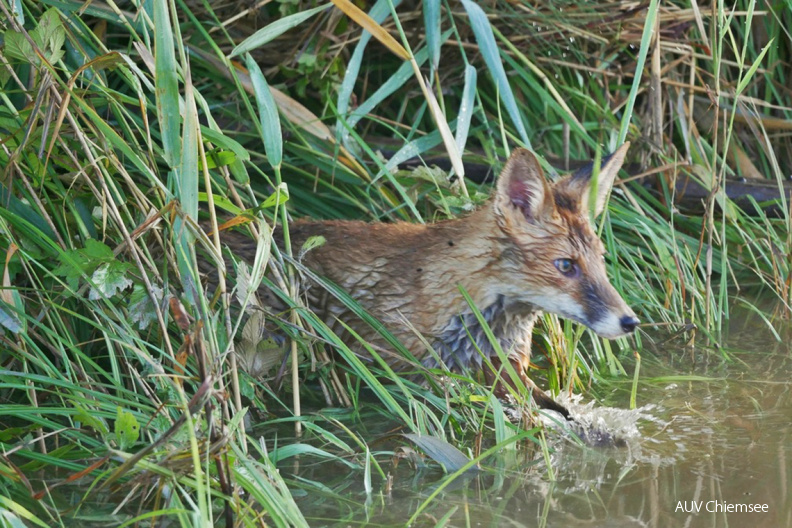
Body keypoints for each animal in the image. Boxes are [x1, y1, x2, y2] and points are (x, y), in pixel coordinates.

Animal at [213, 142, 640, 418]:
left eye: (600, 260)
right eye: (566, 265)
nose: (630, 321)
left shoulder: (508, 370)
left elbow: (560, 413)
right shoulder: (404, 375)